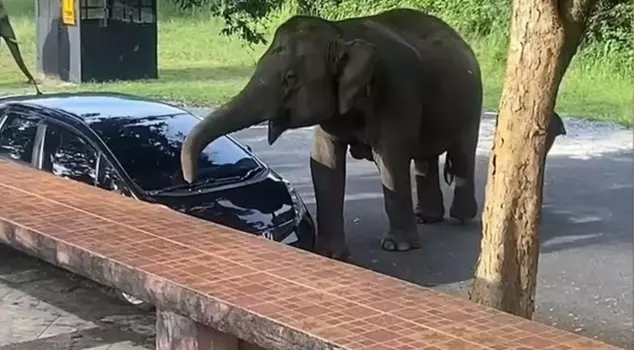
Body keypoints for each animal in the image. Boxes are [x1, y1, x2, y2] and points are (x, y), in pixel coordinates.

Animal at [180, 8, 482, 260]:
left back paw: (461, 218)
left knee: (462, 153)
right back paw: (426, 217)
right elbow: (324, 162)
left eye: (290, 77)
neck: (342, 33)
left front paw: (399, 247)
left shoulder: (398, 91)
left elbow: (391, 159)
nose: (191, 179)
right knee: (425, 159)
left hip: (472, 104)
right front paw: (329, 254)